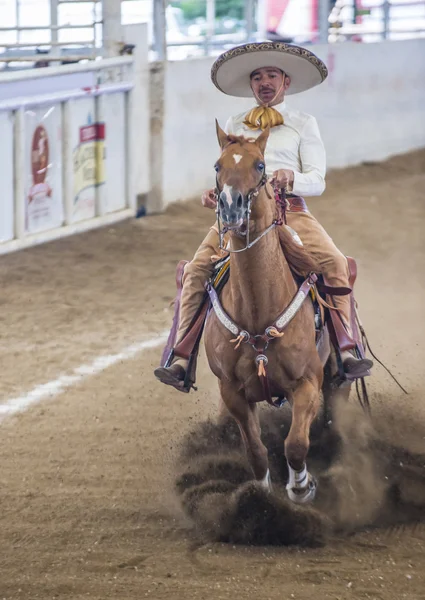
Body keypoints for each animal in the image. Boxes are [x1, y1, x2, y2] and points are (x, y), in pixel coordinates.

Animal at [204, 120, 336, 502]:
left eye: (260, 165)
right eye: (218, 165)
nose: (231, 208)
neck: (259, 311)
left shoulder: (308, 382)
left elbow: (295, 444)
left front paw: (301, 486)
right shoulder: (232, 391)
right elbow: (255, 449)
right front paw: (260, 497)